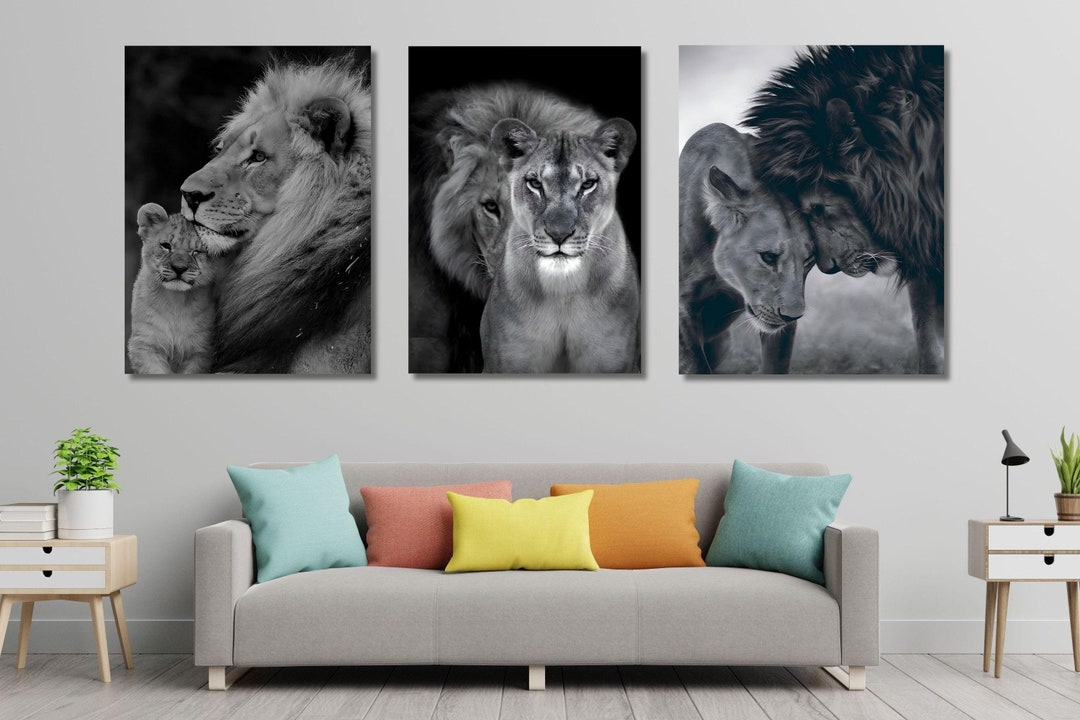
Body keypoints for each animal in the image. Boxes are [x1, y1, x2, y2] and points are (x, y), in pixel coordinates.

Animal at [128, 203, 217, 374]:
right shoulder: (145, 345)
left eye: (197, 252)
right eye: (166, 246)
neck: (176, 301)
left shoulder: (200, 351)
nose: (179, 268)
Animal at [679, 123, 814, 374]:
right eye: (768, 257)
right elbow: (696, 364)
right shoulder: (683, 305)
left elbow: (776, 364)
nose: (792, 315)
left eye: (809, 260)